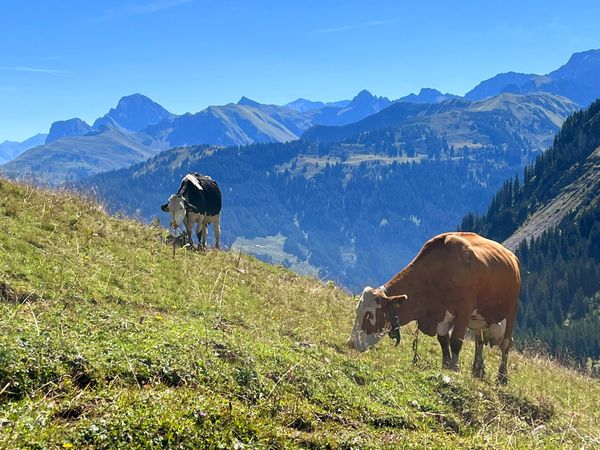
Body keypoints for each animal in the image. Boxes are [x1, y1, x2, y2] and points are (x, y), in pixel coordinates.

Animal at [346, 232, 520, 384]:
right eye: (357, 310)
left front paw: (454, 369)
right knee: (480, 340)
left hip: (511, 310)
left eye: (369, 315)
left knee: (506, 344)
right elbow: (443, 340)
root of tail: (512, 257)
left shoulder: (464, 309)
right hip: (478, 318)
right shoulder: (440, 315)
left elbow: (456, 341)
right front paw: (446, 366)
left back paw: (502, 376)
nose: (351, 343)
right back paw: (477, 370)